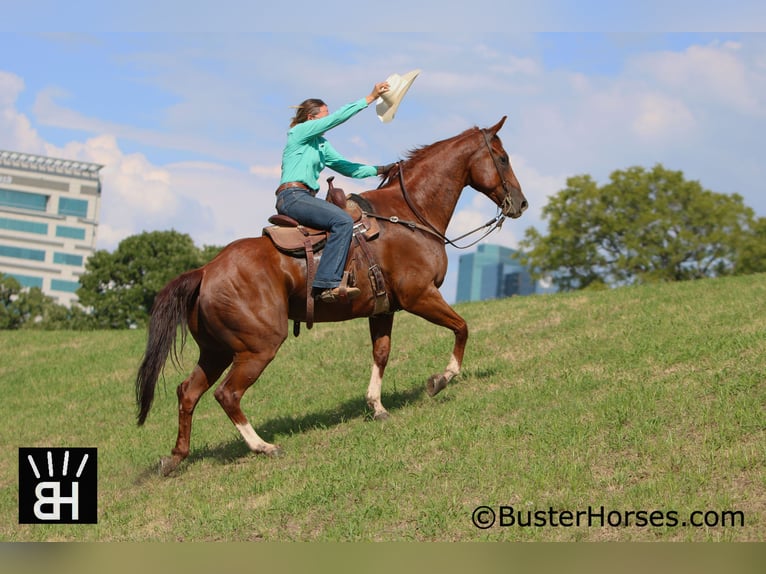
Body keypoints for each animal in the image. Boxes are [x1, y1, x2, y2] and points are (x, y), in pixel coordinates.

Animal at [136, 117, 528, 476]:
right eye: (503, 157)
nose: (521, 203)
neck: (408, 214)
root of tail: (205, 271)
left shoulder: (383, 310)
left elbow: (381, 354)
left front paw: (376, 406)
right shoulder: (419, 296)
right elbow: (462, 328)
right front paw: (440, 380)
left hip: (216, 351)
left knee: (188, 392)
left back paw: (175, 458)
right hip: (257, 347)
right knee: (226, 394)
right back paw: (263, 446)